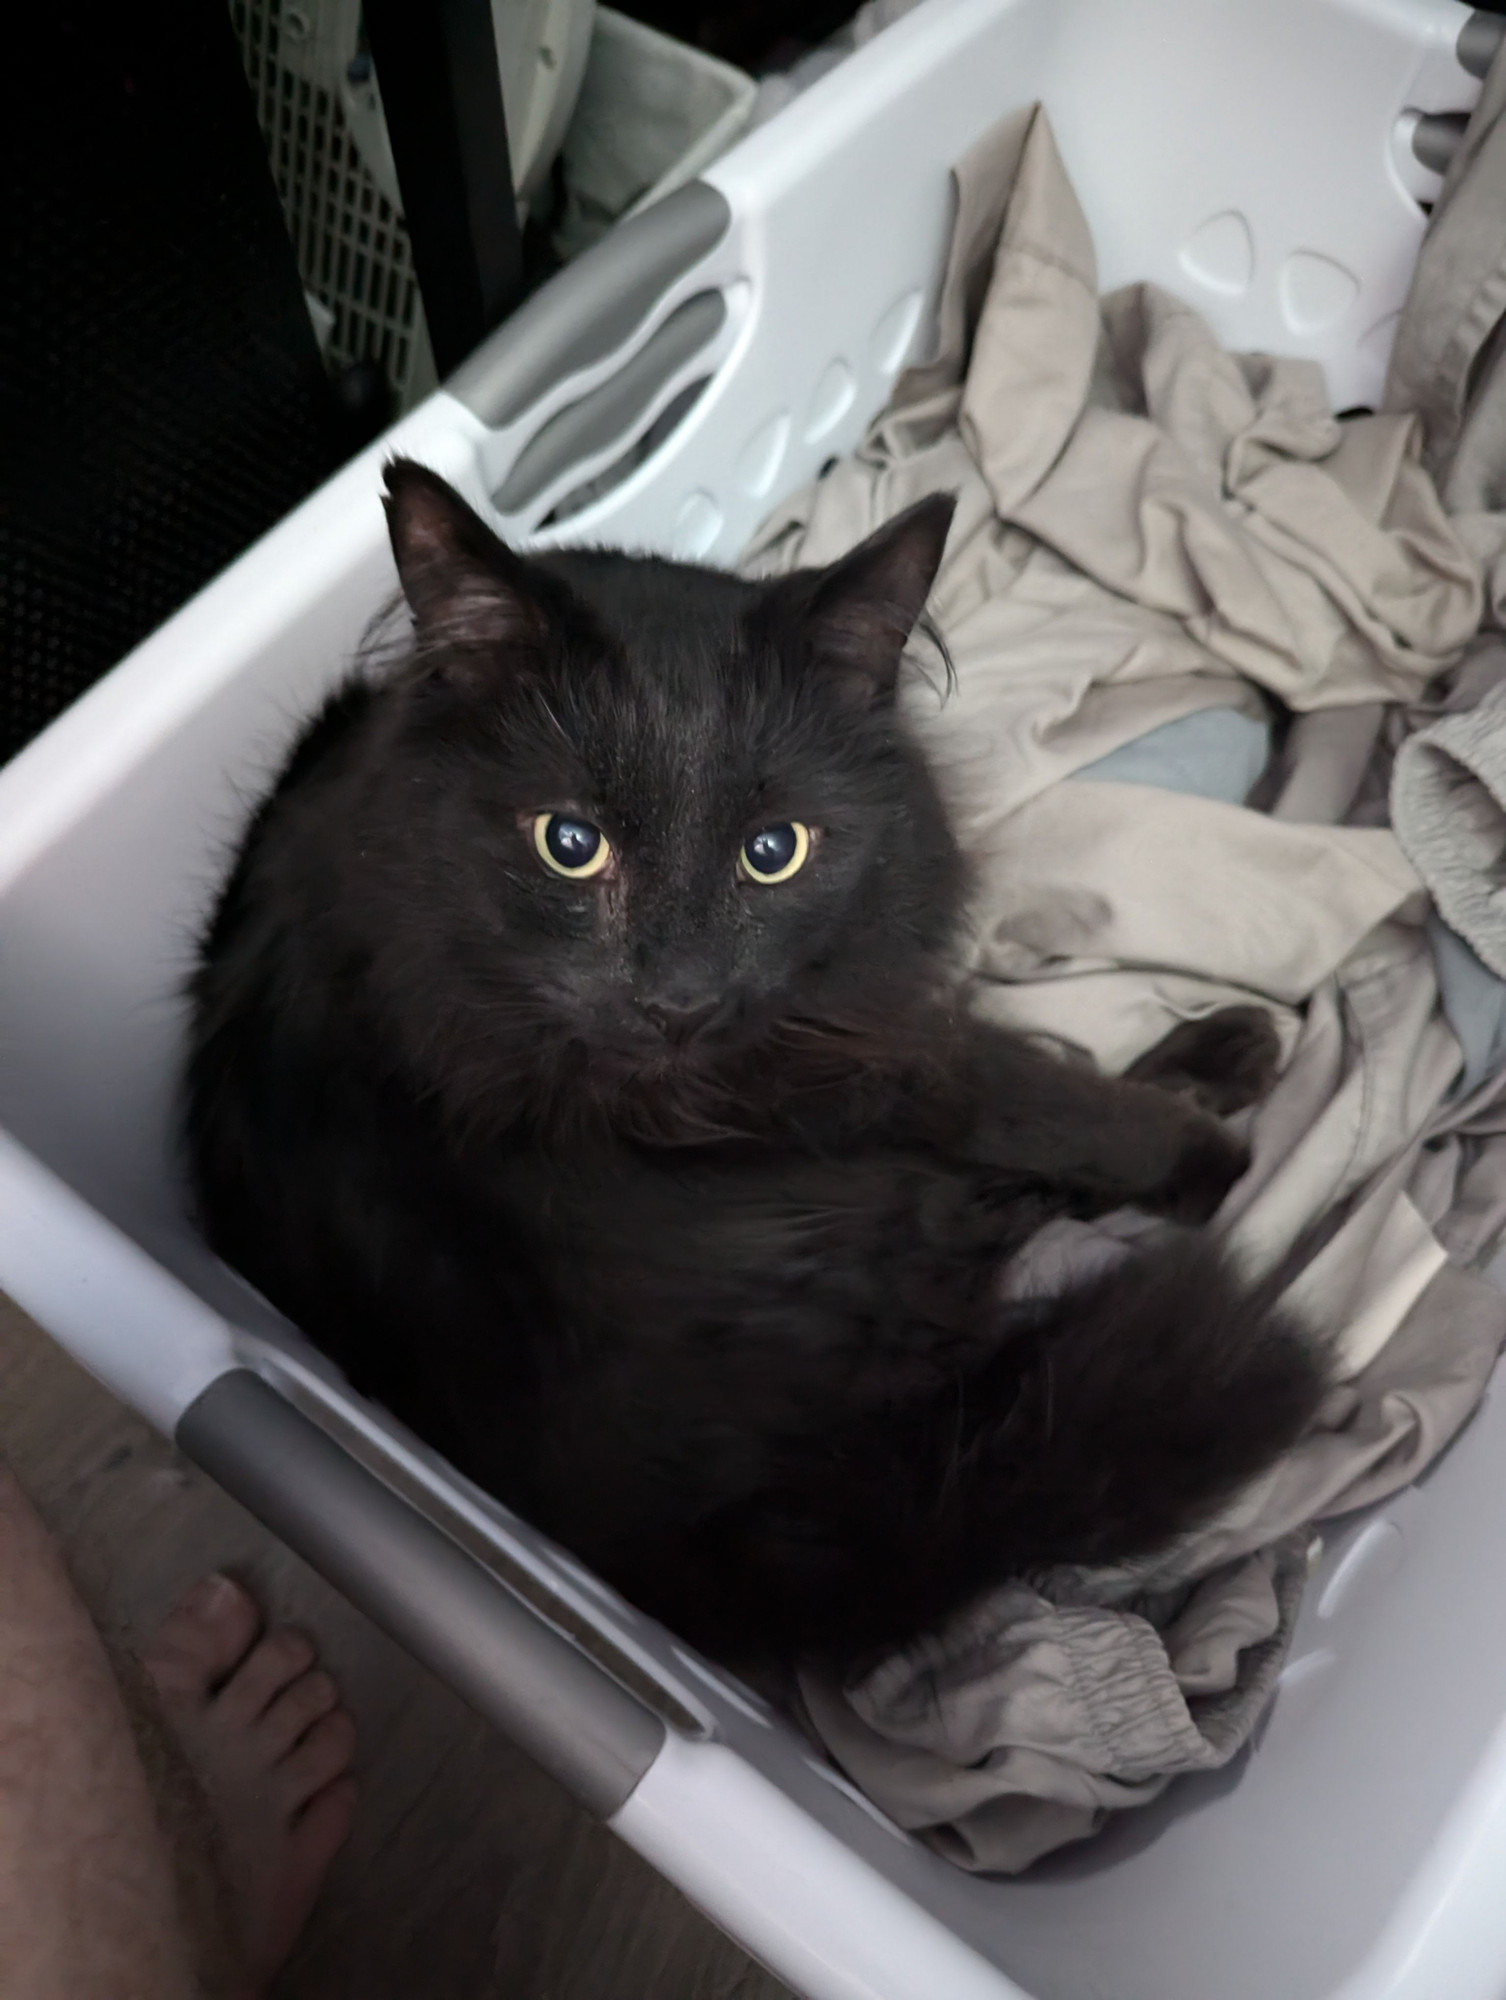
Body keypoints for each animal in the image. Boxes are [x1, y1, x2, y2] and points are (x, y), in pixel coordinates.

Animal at [182, 460, 1320, 1664]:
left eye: (774, 853)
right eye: (569, 844)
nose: (677, 998)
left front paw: (1218, 1061)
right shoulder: (867, 1070)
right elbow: (1045, 1092)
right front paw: (1212, 1155)